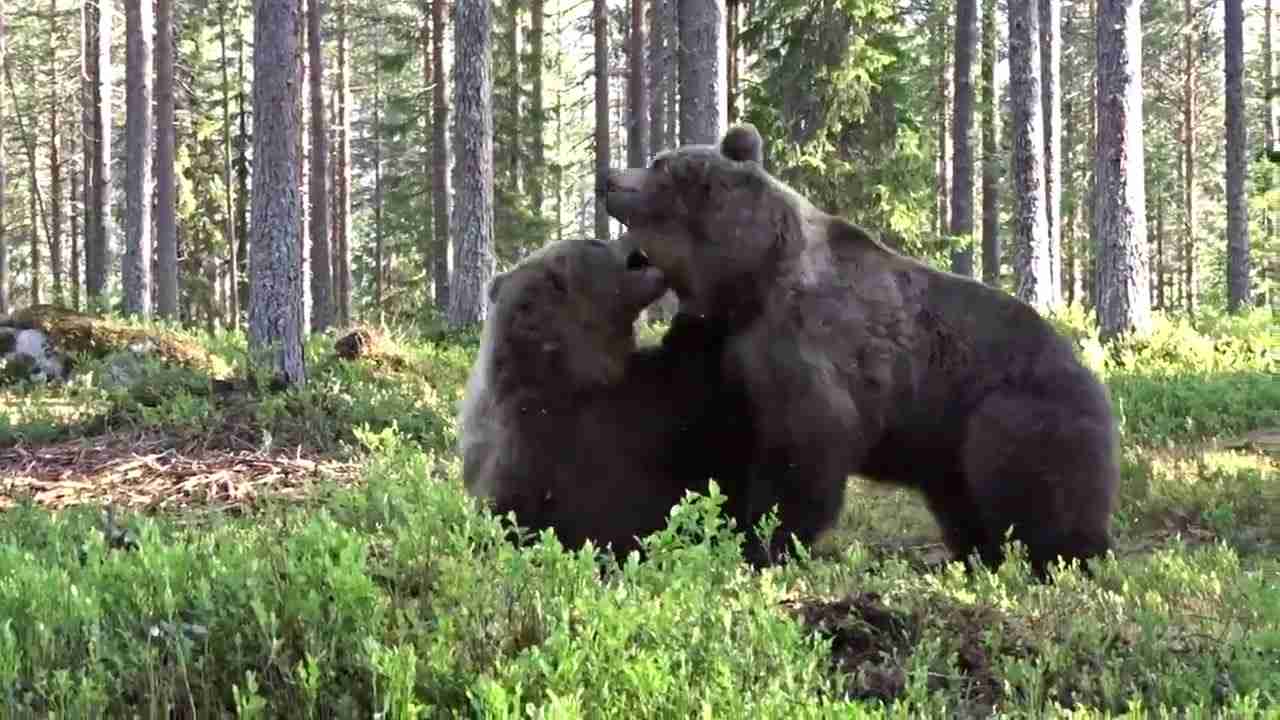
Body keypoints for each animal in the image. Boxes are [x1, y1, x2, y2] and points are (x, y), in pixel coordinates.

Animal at [601, 123, 1119, 579]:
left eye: (659, 163)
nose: (608, 176)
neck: (749, 278)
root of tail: (1092, 375)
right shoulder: (735, 354)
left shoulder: (809, 344)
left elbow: (804, 449)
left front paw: (764, 542)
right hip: (949, 443)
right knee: (963, 500)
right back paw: (978, 557)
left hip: (1014, 411)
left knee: (1035, 491)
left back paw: (1063, 559)